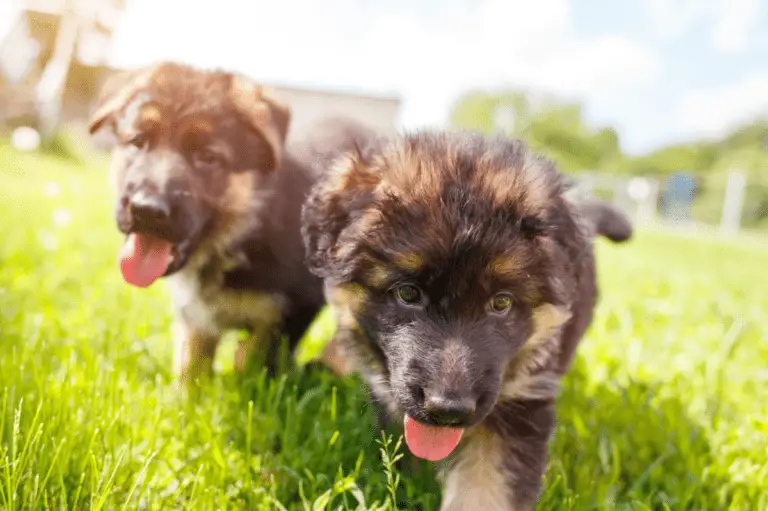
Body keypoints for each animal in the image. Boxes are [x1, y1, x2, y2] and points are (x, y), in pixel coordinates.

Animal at [86, 62, 344, 384]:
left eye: (208, 157)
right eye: (138, 142)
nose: (146, 210)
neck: (241, 236)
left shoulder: (296, 307)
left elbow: (254, 358)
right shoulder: (196, 317)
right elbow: (192, 363)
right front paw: (187, 395)